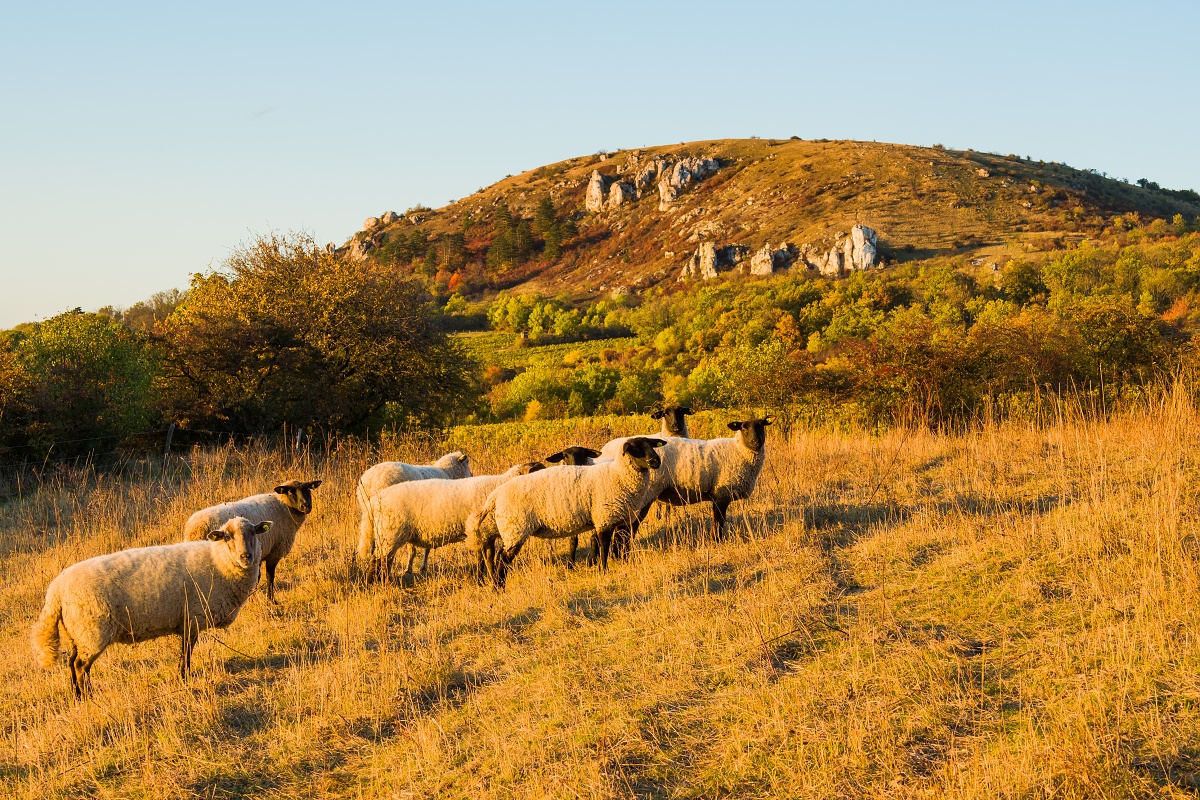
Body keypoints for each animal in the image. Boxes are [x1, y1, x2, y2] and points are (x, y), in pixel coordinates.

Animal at [28, 515, 274, 695]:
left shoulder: (187, 621)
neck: (218, 562)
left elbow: (185, 651)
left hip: (76, 633)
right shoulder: (192, 618)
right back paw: (88, 695)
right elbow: (186, 652)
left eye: (254, 533)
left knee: (71, 663)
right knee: (80, 666)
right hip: (92, 632)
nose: (246, 557)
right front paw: (183, 677)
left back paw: (76, 695)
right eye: (227, 537)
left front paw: (182, 676)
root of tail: (55, 592)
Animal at [183, 479, 324, 604]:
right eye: (290, 492)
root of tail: (197, 528)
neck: (283, 506)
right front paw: (271, 601)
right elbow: (269, 577)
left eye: (308, 489)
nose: (306, 506)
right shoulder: (273, 552)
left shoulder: (258, 554)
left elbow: (258, 577)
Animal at [355, 460, 544, 578]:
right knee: (377, 562)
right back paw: (375, 585)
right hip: (390, 532)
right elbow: (482, 559)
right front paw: (483, 579)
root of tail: (373, 502)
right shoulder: (479, 532)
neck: (499, 485)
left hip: (387, 535)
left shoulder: (486, 533)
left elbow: (488, 558)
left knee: (384, 562)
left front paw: (488, 577)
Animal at [463, 438, 667, 587]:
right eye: (634, 448)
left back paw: (496, 584)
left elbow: (620, 542)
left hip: (507, 529)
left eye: (650, 444)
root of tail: (495, 495)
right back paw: (499, 586)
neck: (617, 475)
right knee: (502, 558)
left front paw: (621, 562)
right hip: (515, 528)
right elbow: (604, 547)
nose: (655, 461)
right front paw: (603, 570)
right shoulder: (604, 517)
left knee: (495, 555)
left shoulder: (617, 519)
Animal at [595, 419, 772, 556]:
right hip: (639, 496)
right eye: (744, 427)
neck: (738, 450)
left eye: (762, 426)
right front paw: (715, 541)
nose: (756, 442)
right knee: (625, 528)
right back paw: (620, 554)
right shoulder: (722, 494)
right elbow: (718, 521)